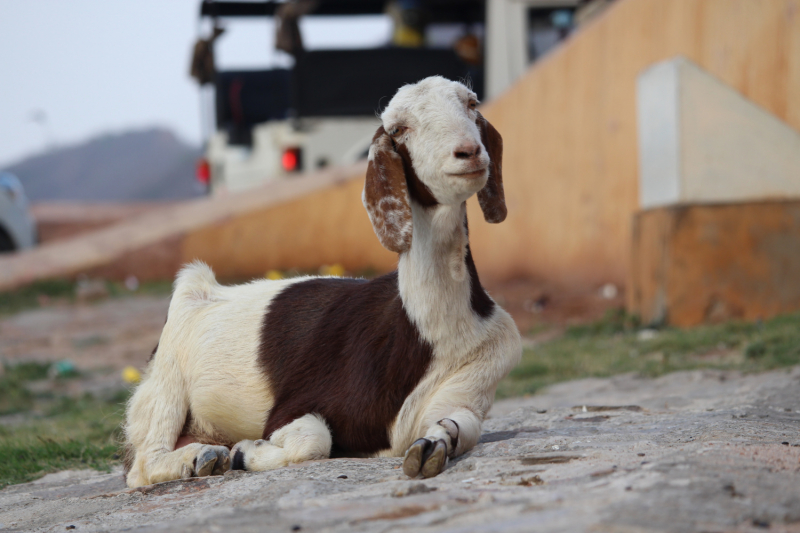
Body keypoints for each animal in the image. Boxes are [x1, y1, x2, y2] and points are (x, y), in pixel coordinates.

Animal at [123, 75, 524, 486]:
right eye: (398, 128)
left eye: (472, 104)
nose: (469, 152)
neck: (425, 331)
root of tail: (200, 289)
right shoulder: (292, 406)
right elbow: (314, 439)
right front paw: (244, 452)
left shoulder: (470, 383)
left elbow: (460, 427)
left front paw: (432, 448)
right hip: (167, 381)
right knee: (143, 463)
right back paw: (203, 457)